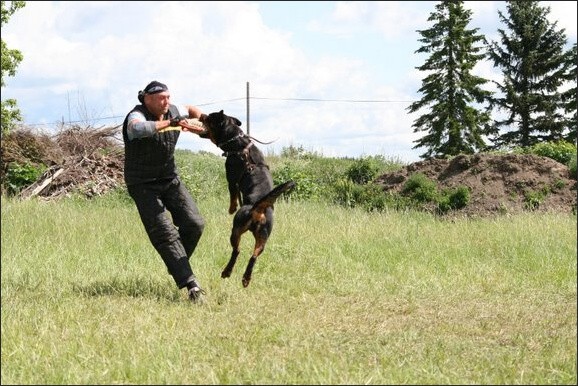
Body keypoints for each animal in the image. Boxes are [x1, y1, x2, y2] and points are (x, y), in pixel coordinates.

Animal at [199, 108, 296, 286]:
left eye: (209, 117)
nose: (201, 115)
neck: (239, 143)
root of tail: (259, 207)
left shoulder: (231, 179)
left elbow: (233, 195)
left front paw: (231, 208)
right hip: (263, 237)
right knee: (253, 256)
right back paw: (246, 278)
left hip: (236, 229)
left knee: (237, 250)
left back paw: (227, 271)